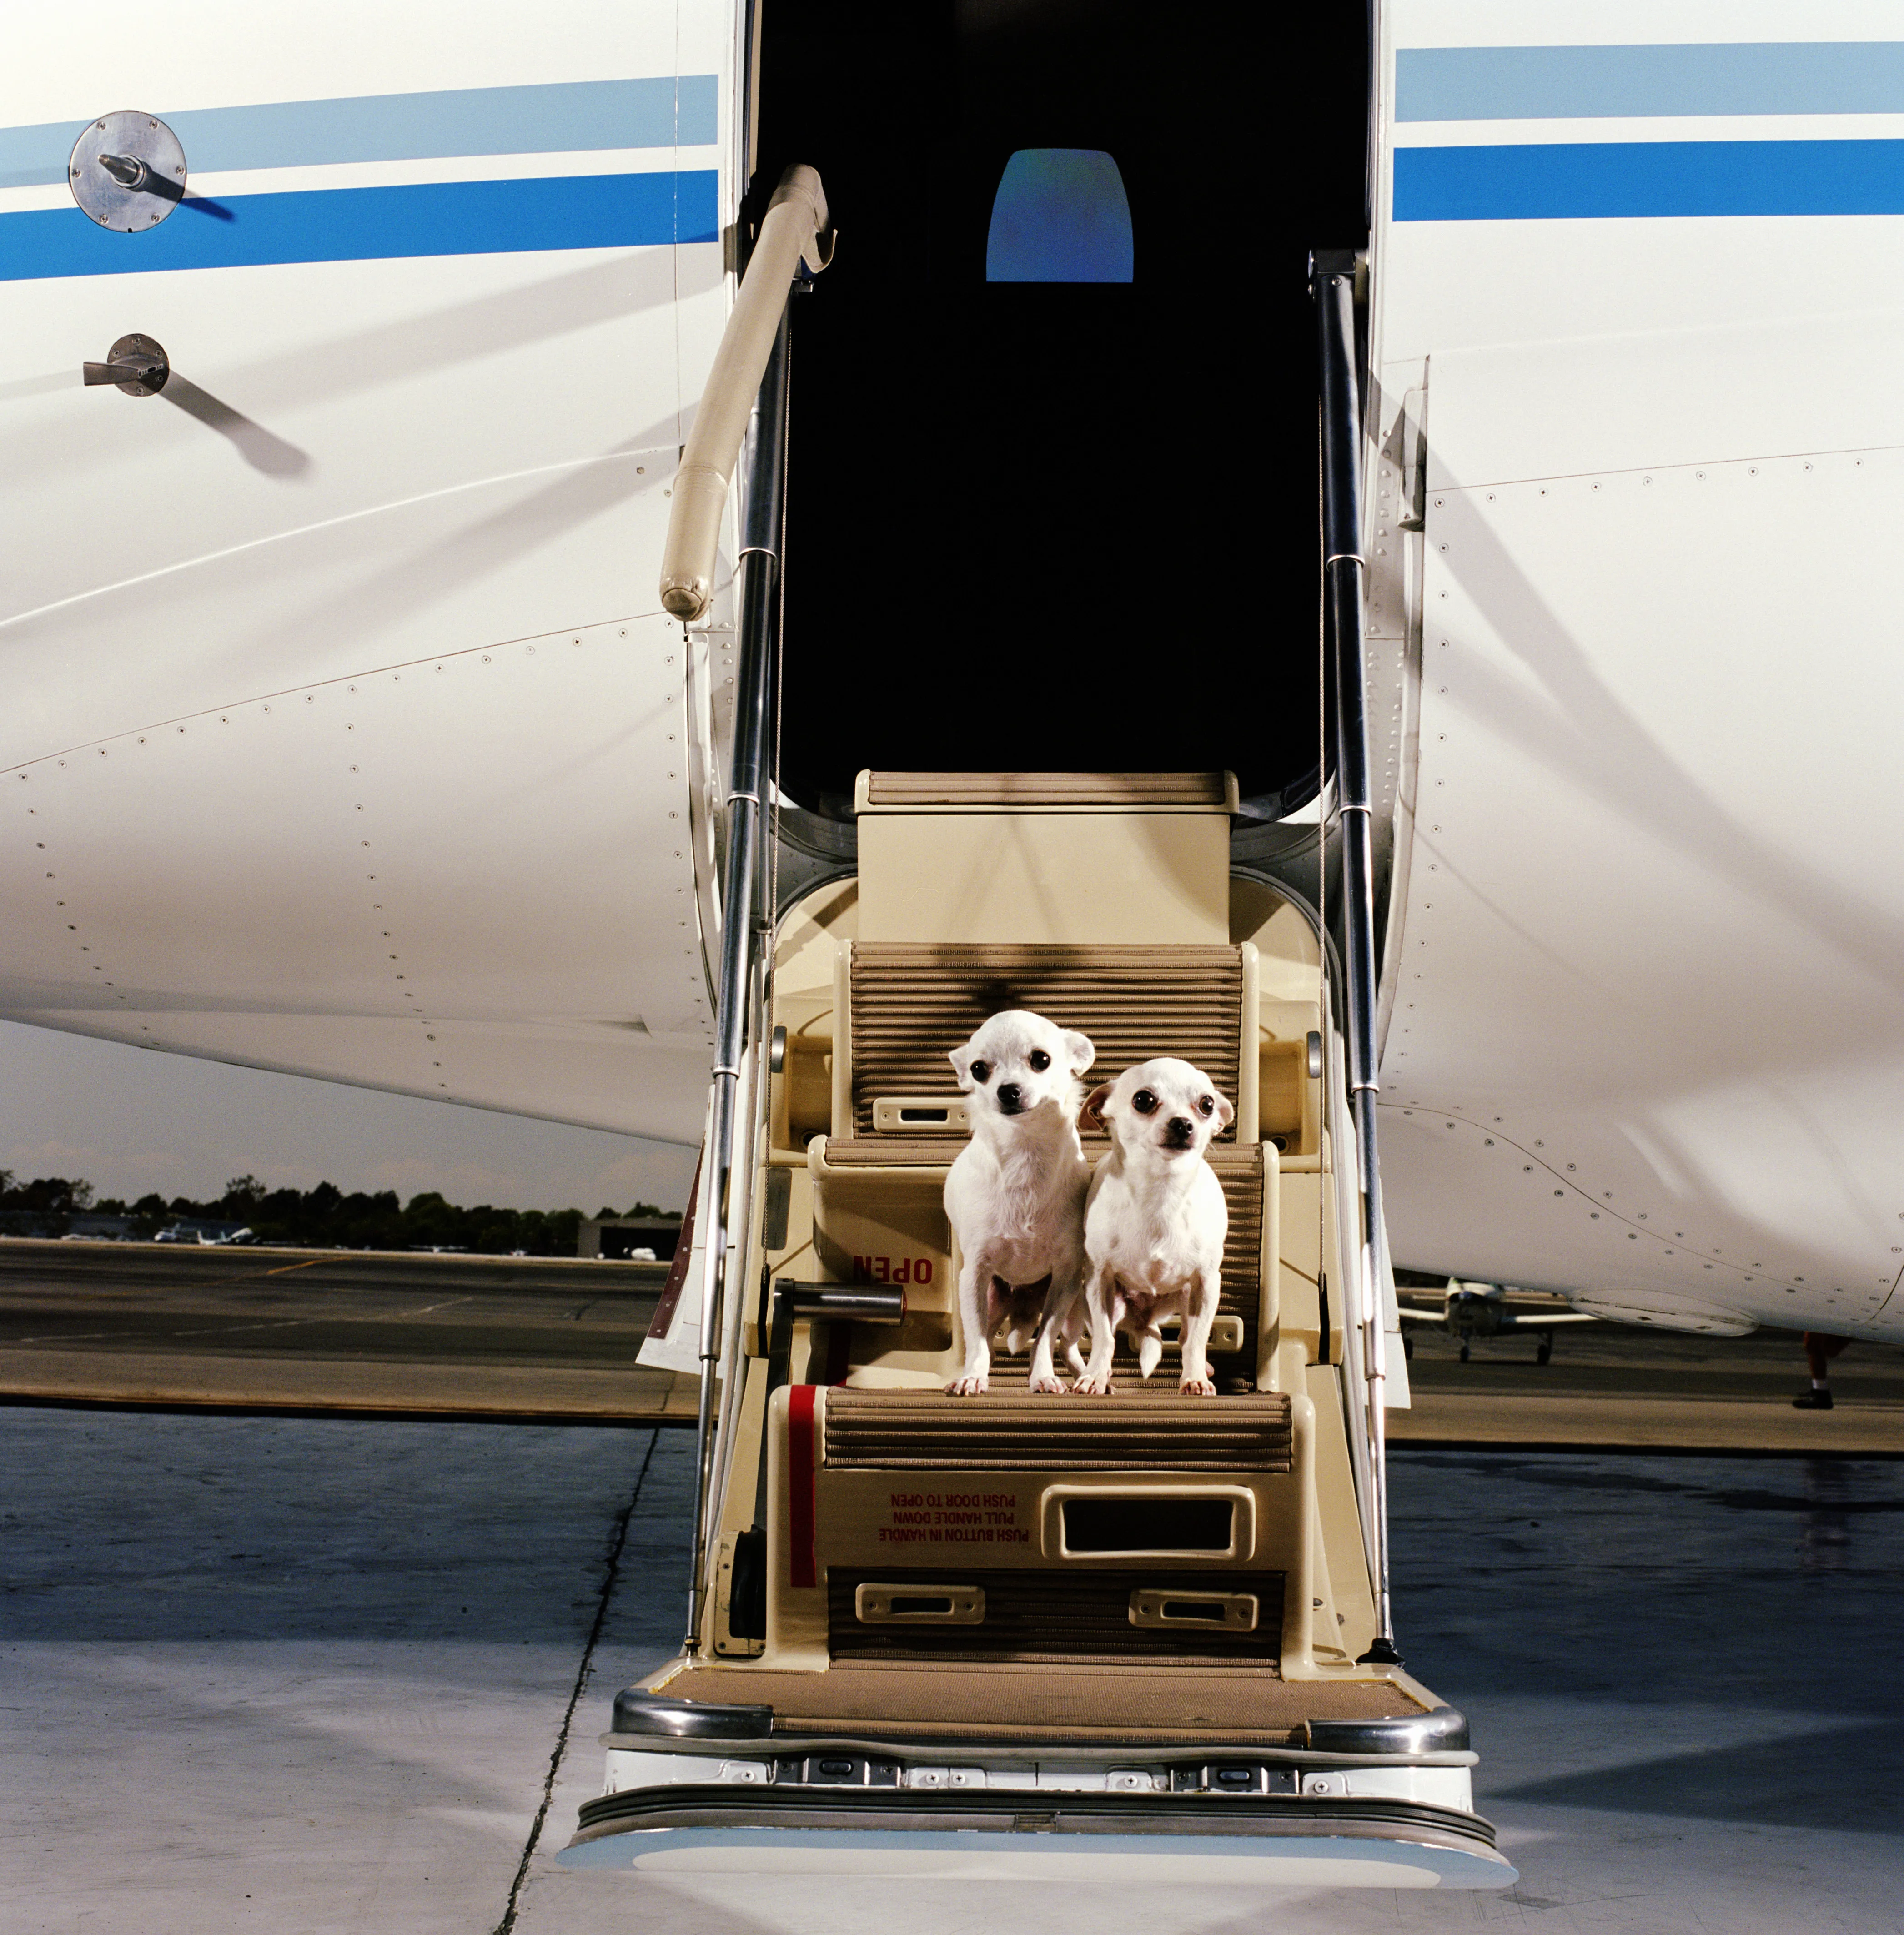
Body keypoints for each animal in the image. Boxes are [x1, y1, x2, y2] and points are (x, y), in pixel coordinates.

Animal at [940, 1006, 1091, 1401]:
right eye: (979, 1068)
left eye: (1041, 1059)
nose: (1007, 1090)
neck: (1024, 1152)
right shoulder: (975, 1274)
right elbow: (978, 1342)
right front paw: (972, 1378)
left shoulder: (1065, 1278)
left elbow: (1045, 1339)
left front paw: (1043, 1377)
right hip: (990, 1299)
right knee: (985, 1341)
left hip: (1077, 1305)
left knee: (1066, 1345)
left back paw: (1086, 1377)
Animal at [1075, 1060, 1231, 1393]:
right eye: (1143, 1100)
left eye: (1207, 1104)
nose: (1184, 1124)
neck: (1161, 1191)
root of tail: (1146, 1318)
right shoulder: (1099, 1280)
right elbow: (1104, 1338)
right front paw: (1095, 1376)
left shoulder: (1207, 1283)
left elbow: (1197, 1340)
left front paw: (1194, 1378)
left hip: (1187, 1296)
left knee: (1185, 1336)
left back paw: (1201, 1368)